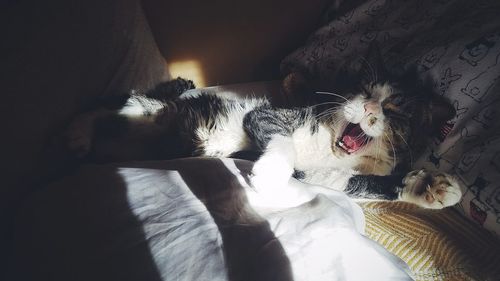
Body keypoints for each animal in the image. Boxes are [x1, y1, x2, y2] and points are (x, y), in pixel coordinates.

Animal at [65, 53, 460, 208]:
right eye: (363, 89)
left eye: (396, 109)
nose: (369, 108)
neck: (329, 146)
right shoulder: (267, 116)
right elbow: (280, 140)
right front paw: (269, 173)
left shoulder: (326, 174)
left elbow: (354, 182)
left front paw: (427, 186)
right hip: (151, 106)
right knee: (111, 105)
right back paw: (78, 136)